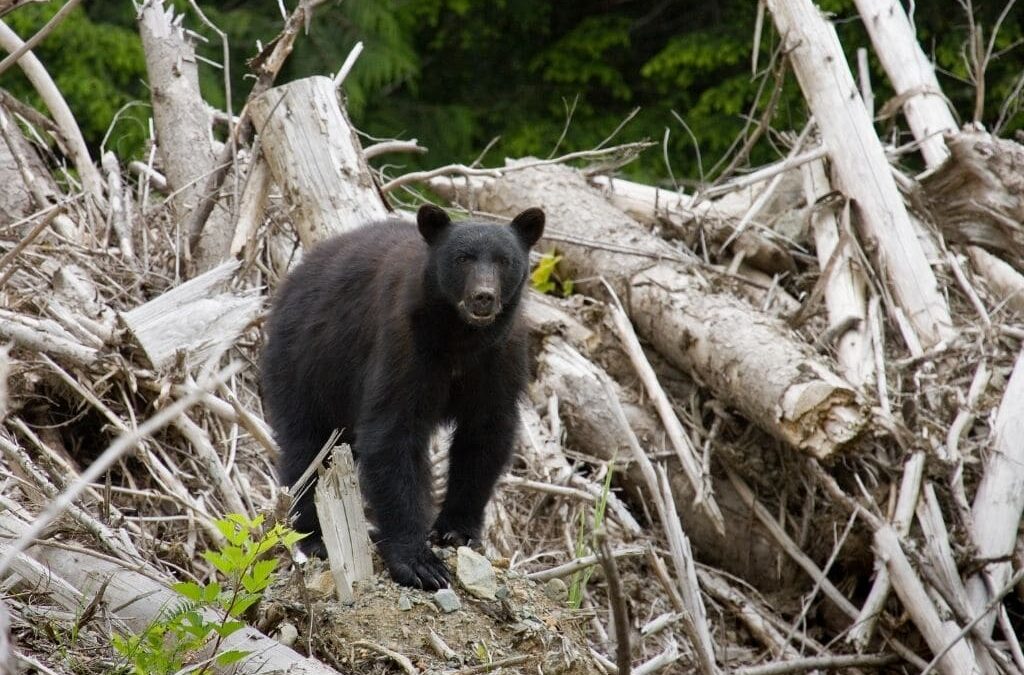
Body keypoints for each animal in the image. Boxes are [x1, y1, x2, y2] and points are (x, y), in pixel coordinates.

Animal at [262, 203, 544, 589]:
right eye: (462, 258)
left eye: (504, 260)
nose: (483, 296)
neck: (461, 339)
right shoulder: (404, 345)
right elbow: (393, 433)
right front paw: (418, 562)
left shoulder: (498, 359)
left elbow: (485, 434)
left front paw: (457, 530)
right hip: (306, 363)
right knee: (305, 448)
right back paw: (313, 535)